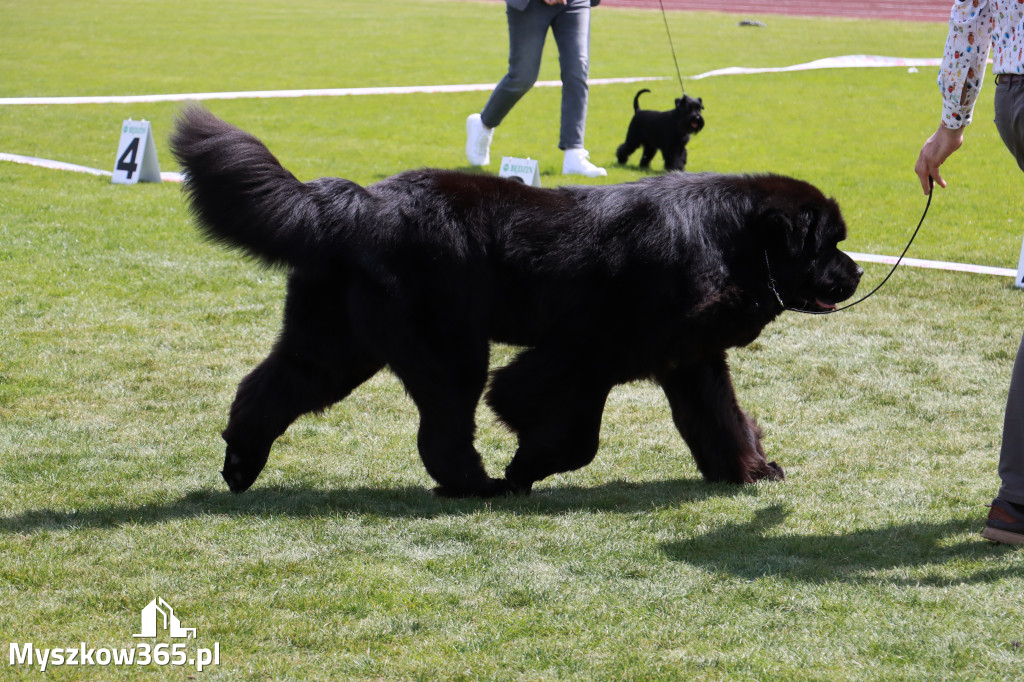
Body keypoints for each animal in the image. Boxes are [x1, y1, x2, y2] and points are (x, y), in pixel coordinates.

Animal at [172, 107, 860, 499]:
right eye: (829, 244)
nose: (855, 273)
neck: (727, 240)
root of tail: (357, 202)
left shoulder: (690, 360)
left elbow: (720, 421)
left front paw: (750, 470)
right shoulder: (585, 353)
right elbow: (567, 430)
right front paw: (526, 468)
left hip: (335, 342)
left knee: (270, 389)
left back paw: (240, 464)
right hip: (447, 348)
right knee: (443, 429)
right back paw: (478, 487)